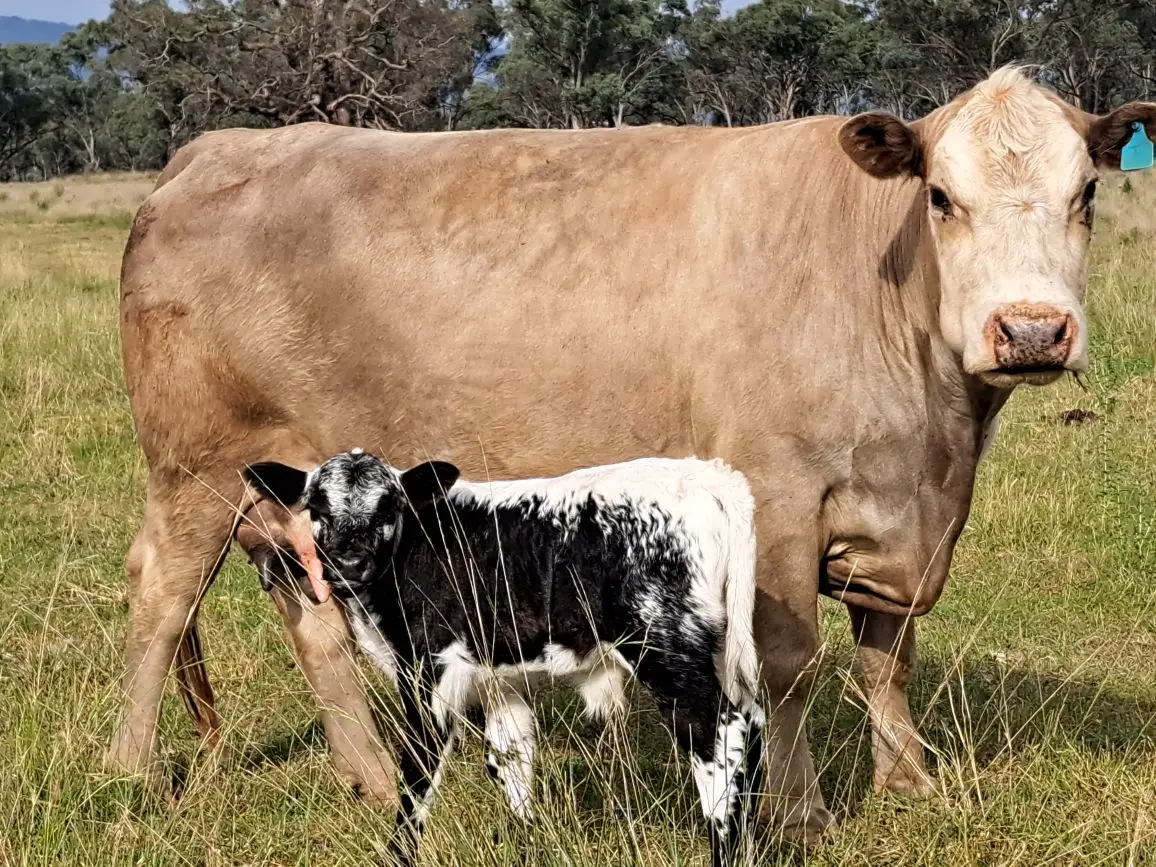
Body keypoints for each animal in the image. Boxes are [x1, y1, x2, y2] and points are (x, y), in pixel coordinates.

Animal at [107, 65, 1156, 842]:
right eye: (940, 196)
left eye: (1086, 193)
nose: (1031, 330)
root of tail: (217, 148)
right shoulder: (776, 500)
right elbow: (790, 665)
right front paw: (799, 811)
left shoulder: (905, 517)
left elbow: (886, 656)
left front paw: (910, 784)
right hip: (195, 470)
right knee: (160, 598)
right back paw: (130, 772)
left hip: (296, 498)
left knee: (317, 627)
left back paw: (367, 778)